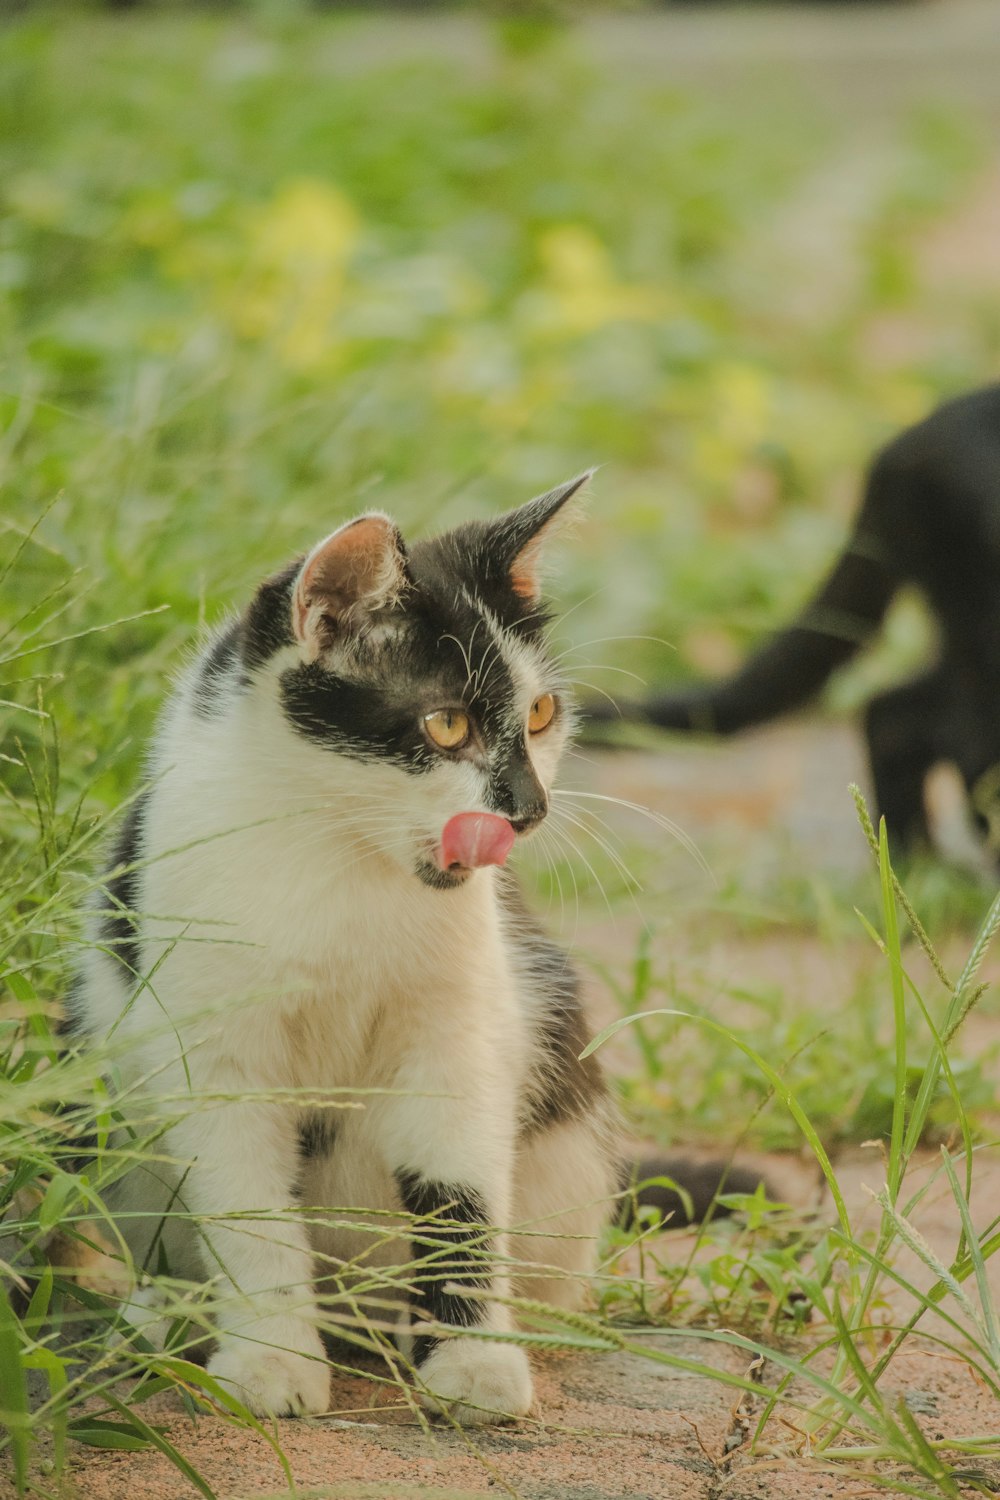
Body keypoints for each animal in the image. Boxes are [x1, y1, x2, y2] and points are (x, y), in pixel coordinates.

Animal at [64, 480, 632, 1428]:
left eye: (541, 714)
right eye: (446, 724)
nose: (530, 808)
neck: (340, 859)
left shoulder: (459, 1025)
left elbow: (460, 1190)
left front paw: (473, 1359)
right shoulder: (210, 1051)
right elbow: (248, 1211)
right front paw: (270, 1360)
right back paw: (172, 1317)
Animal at [590, 387, 1000, 858]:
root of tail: (901, 444)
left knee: (897, 712)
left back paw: (911, 856)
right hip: (979, 636)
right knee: (937, 733)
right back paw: (917, 859)